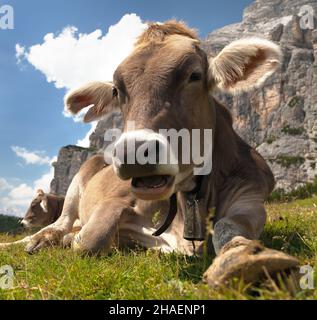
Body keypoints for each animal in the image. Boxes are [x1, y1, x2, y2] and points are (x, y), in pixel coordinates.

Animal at [3, 22, 298, 288]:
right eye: (116, 90)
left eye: (194, 75)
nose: (133, 153)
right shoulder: (115, 201)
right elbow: (89, 240)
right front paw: (66, 240)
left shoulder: (251, 195)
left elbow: (230, 225)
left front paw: (241, 256)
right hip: (77, 183)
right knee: (60, 223)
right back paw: (34, 240)